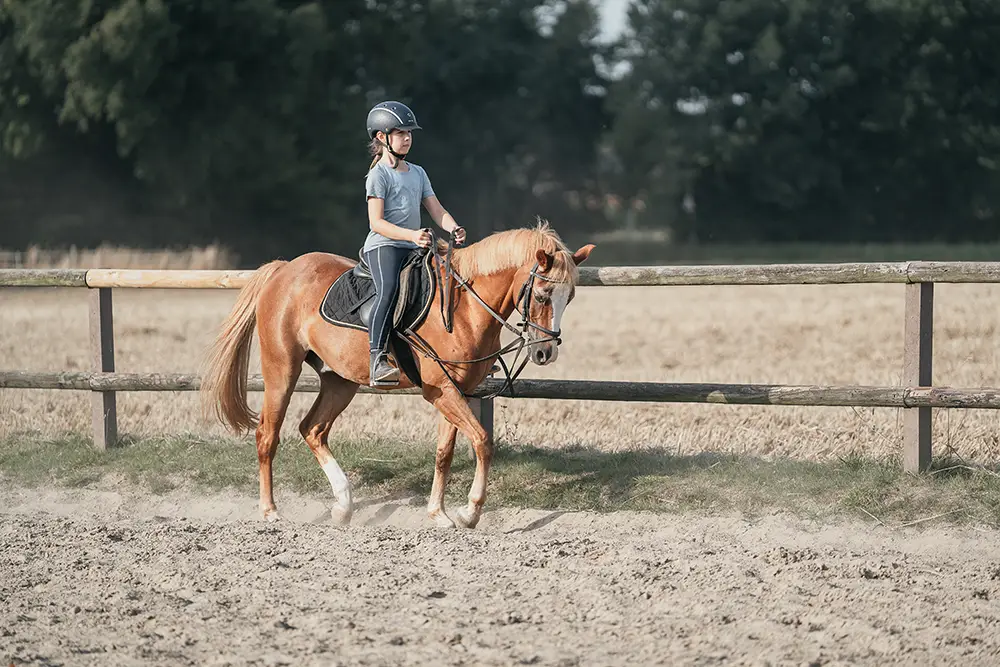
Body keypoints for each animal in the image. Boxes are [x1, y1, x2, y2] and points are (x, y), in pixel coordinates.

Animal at [199, 221, 594, 529]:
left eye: (571, 297)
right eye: (542, 294)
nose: (545, 352)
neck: (464, 308)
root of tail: (283, 270)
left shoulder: (456, 391)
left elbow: (444, 452)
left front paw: (438, 514)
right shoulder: (440, 390)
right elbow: (483, 441)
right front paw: (469, 513)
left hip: (340, 381)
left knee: (312, 429)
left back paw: (343, 506)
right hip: (281, 369)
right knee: (268, 435)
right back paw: (270, 511)